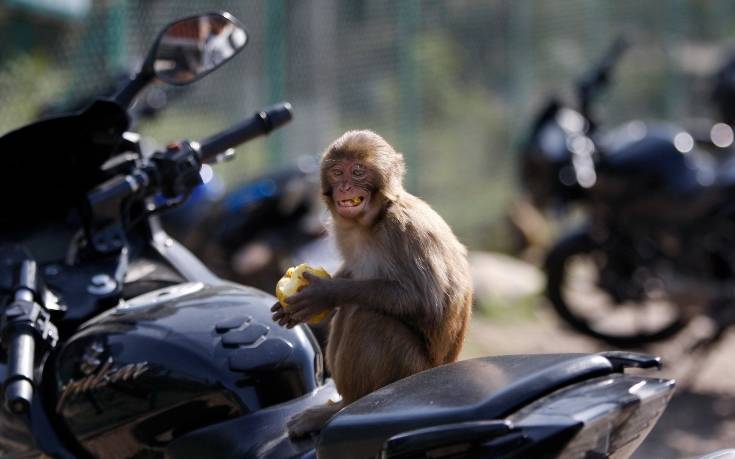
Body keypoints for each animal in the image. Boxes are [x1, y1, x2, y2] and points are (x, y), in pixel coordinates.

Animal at [270, 129, 472, 438]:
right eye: (338, 172)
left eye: (358, 172)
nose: (344, 188)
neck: (374, 219)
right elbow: (353, 271)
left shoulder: (405, 230)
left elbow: (429, 302)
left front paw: (324, 294)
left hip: (409, 370)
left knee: (367, 317)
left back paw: (340, 409)